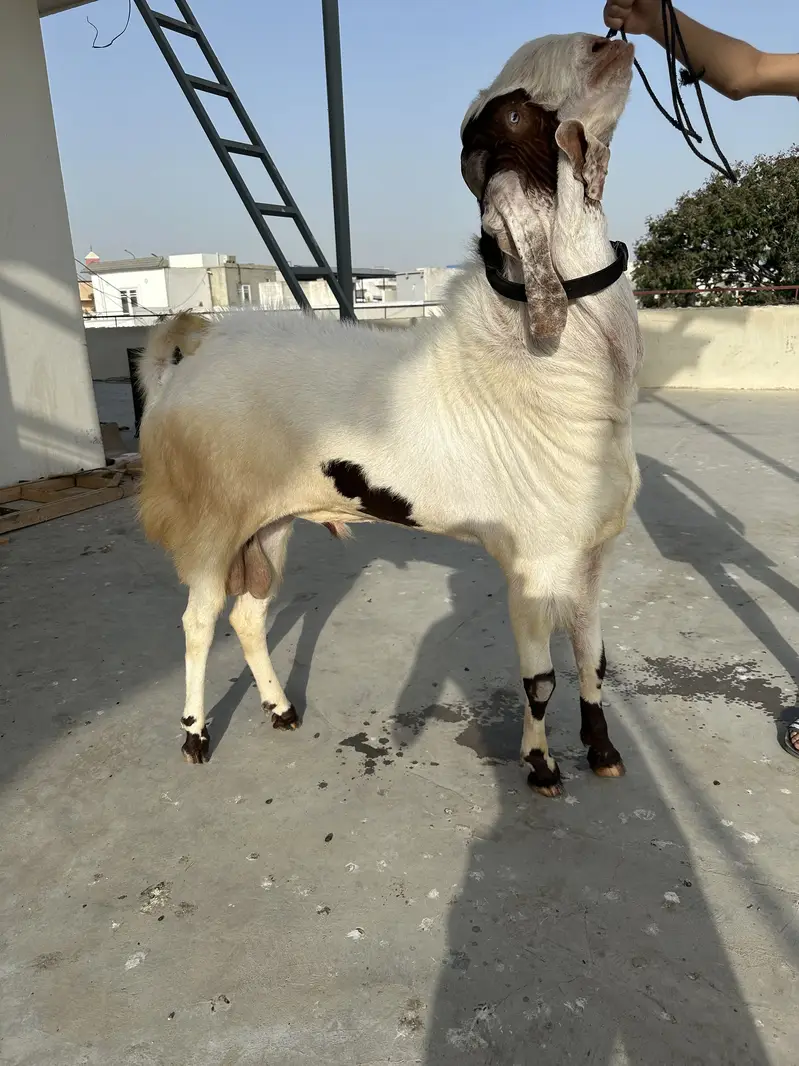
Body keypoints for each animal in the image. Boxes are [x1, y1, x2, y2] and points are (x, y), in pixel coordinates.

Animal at [138, 32, 642, 796]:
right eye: (515, 116)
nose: (605, 40)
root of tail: (193, 351)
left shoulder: (588, 557)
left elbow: (594, 659)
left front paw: (604, 751)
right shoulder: (532, 563)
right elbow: (540, 680)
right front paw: (541, 768)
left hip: (271, 523)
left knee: (251, 615)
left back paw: (281, 709)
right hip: (209, 525)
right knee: (198, 620)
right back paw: (195, 737)